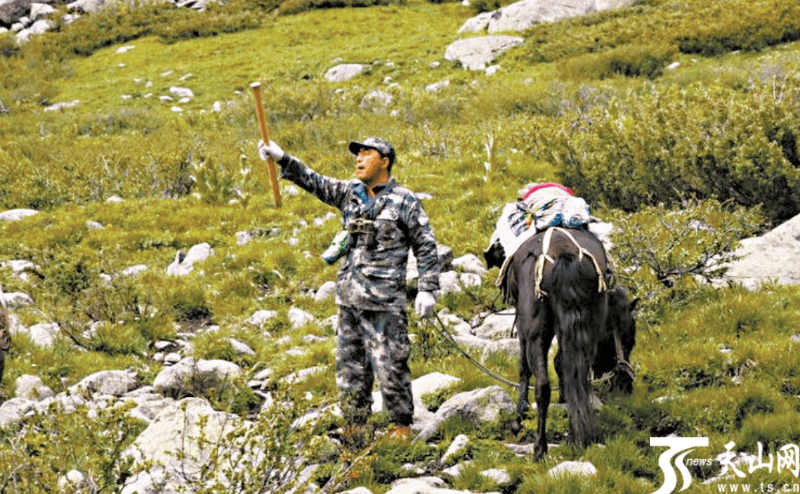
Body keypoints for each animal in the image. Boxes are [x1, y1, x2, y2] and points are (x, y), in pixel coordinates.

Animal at [488, 226, 636, 462]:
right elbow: (561, 364)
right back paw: (578, 433)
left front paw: (519, 417)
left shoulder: (523, 324)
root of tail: (564, 254)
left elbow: (524, 368)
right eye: (631, 336)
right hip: (587, 324)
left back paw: (539, 447)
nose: (626, 386)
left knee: (542, 385)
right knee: (578, 375)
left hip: (535, 328)